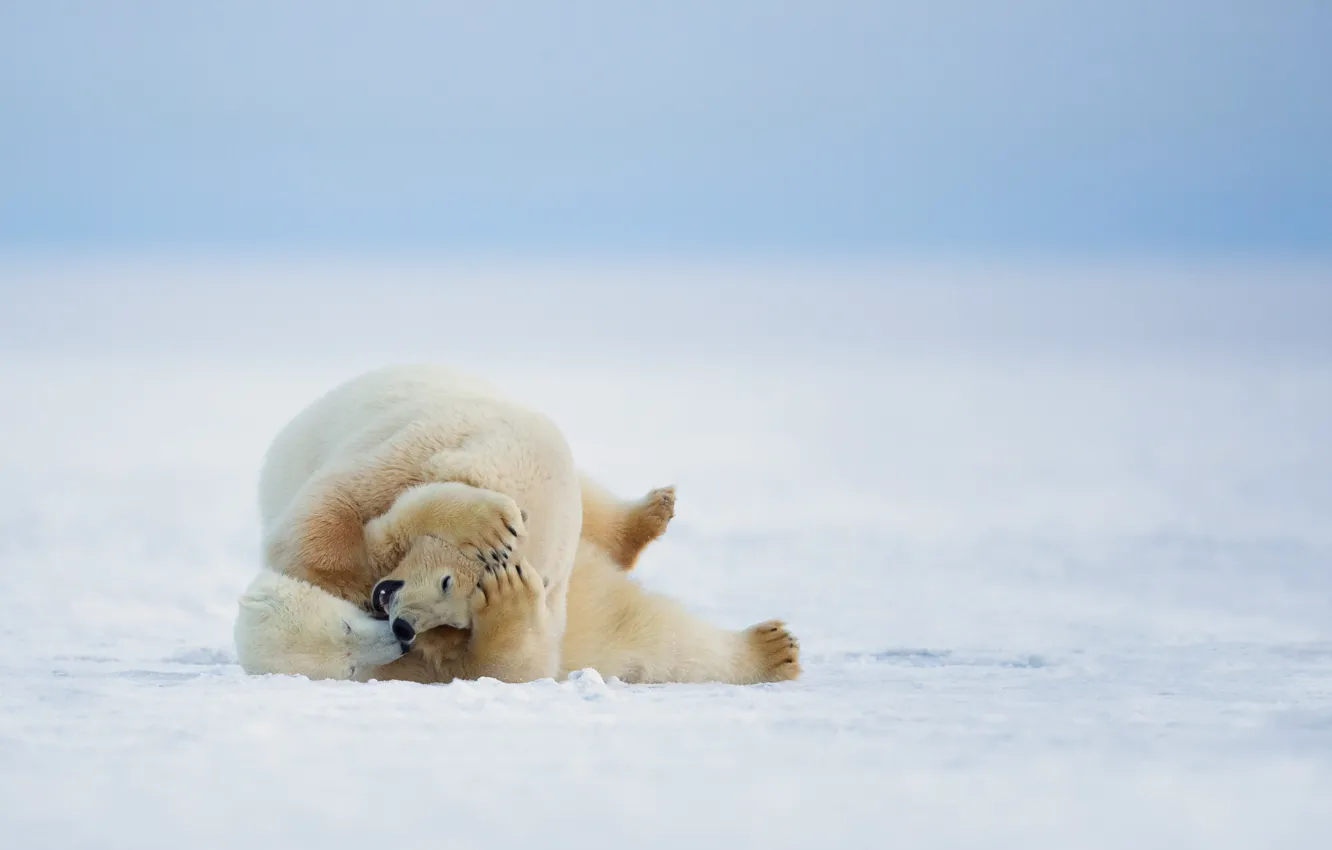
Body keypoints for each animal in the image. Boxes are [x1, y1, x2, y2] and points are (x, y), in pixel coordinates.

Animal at [258, 363, 585, 677]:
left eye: (460, 622)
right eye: (446, 582)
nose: (404, 627)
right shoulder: (419, 447)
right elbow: (324, 519)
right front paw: (490, 525)